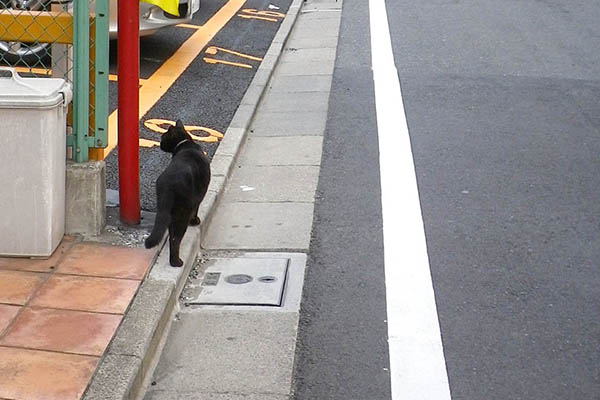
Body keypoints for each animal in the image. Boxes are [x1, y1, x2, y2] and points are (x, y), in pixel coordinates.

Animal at [145, 120, 211, 268]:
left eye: (163, 137)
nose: (160, 143)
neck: (185, 144)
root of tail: (168, 184)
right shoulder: (198, 197)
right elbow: (196, 209)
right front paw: (195, 221)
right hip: (182, 212)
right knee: (175, 239)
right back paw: (176, 262)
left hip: (167, 211)